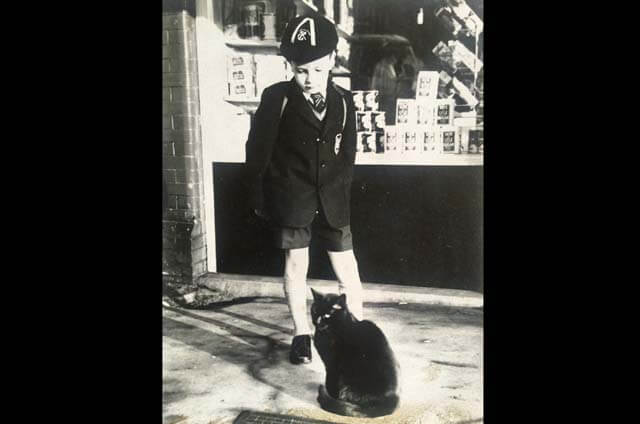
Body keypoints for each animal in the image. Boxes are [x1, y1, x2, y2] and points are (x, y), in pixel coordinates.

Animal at [312, 288, 400, 418]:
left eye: (327, 315)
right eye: (315, 311)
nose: (317, 322)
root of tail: (391, 400)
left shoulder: (332, 365)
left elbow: (330, 381)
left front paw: (330, 394)